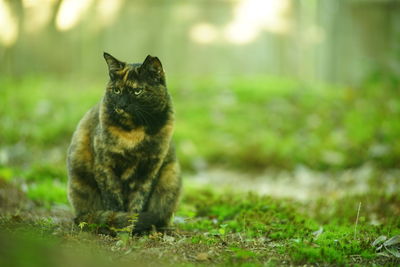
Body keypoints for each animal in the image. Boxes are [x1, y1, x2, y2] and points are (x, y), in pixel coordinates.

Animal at [67, 52, 181, 234]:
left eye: (137, 91)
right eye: (116, 90)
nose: (122, 105)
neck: (133, 132)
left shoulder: (149, 170)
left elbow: (138, 201)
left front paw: (132, 226)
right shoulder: (105, 166)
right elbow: (113, 200)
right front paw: (117, 225)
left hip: (171, 177)